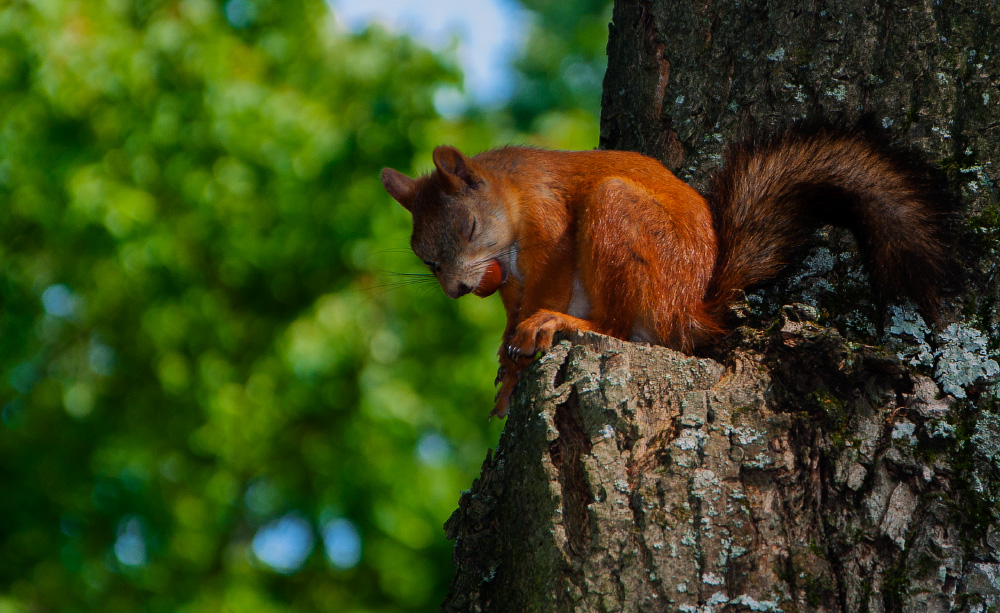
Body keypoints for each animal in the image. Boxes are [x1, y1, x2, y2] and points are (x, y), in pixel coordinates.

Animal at [380, 128, 952, 416]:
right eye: (425, 258)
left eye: (470, 227)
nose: (456, 289)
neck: (513, 191)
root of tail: (687, 310)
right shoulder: (510, 280)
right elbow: (509, 315)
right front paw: (504, 367)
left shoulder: (551, 230)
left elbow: (544, 290)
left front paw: (527, 340)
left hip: (618, 218)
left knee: (614, 326)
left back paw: (568, 324)